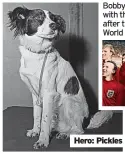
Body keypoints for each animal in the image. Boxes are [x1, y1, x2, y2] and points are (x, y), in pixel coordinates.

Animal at [7, 6, 113, 149]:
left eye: (53, 19)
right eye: (38, 17)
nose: (54, 25)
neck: (37, 54)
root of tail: (87, 121)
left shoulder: (49, 93)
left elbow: (44, 119)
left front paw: (43, 140)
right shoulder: (35, 94)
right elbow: (37, 115)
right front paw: (35, 131)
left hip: (68, 102)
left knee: (79, 130)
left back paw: (66, 134)